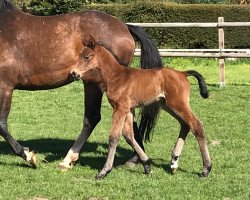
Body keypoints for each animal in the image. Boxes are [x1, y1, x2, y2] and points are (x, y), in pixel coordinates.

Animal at [70, 37, 211, 178]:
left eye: (87, 57)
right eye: (79, 55)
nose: (73, 73)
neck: (116, 77)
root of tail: (182, 73)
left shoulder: (120, 108)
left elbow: (114, 137)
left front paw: (104, 171)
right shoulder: (128, 109)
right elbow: (128, 135)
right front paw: (147, 165)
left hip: (178, 104)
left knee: (197, 125)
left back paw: (206, 168)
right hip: (167, 105)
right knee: (185, 124)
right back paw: (174, 162)